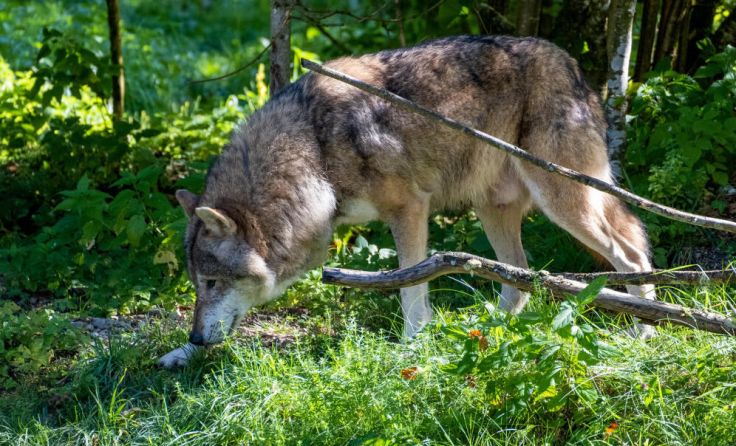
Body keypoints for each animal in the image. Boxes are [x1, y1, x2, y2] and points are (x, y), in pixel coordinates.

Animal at [159, 36, 655, 368]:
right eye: (198, 284)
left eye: (212, 283)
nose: (197, 338)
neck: (313, 150)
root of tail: (571, 62)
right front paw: (178, 354)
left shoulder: (410, 210)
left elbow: (410, 288)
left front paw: (412, 347)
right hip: (493, 209)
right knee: (519, 278)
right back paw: (479, 335)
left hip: (564, 203)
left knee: (630, 256)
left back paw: (645, 329)